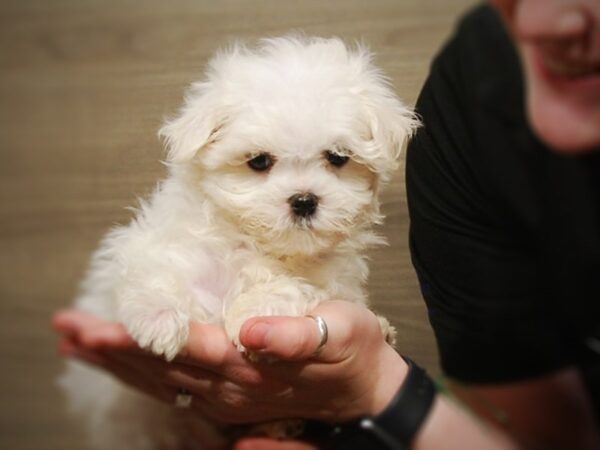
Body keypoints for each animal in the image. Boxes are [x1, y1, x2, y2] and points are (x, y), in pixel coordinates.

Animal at [61, 35, 418, 450]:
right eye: (259, 161)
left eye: (337, 157)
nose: (304, 200)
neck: (255, 243)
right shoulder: (156, 245)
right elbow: (155, 269)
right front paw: (159, 319)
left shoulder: (335, 285)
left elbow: (292, 288)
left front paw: (253, 313)